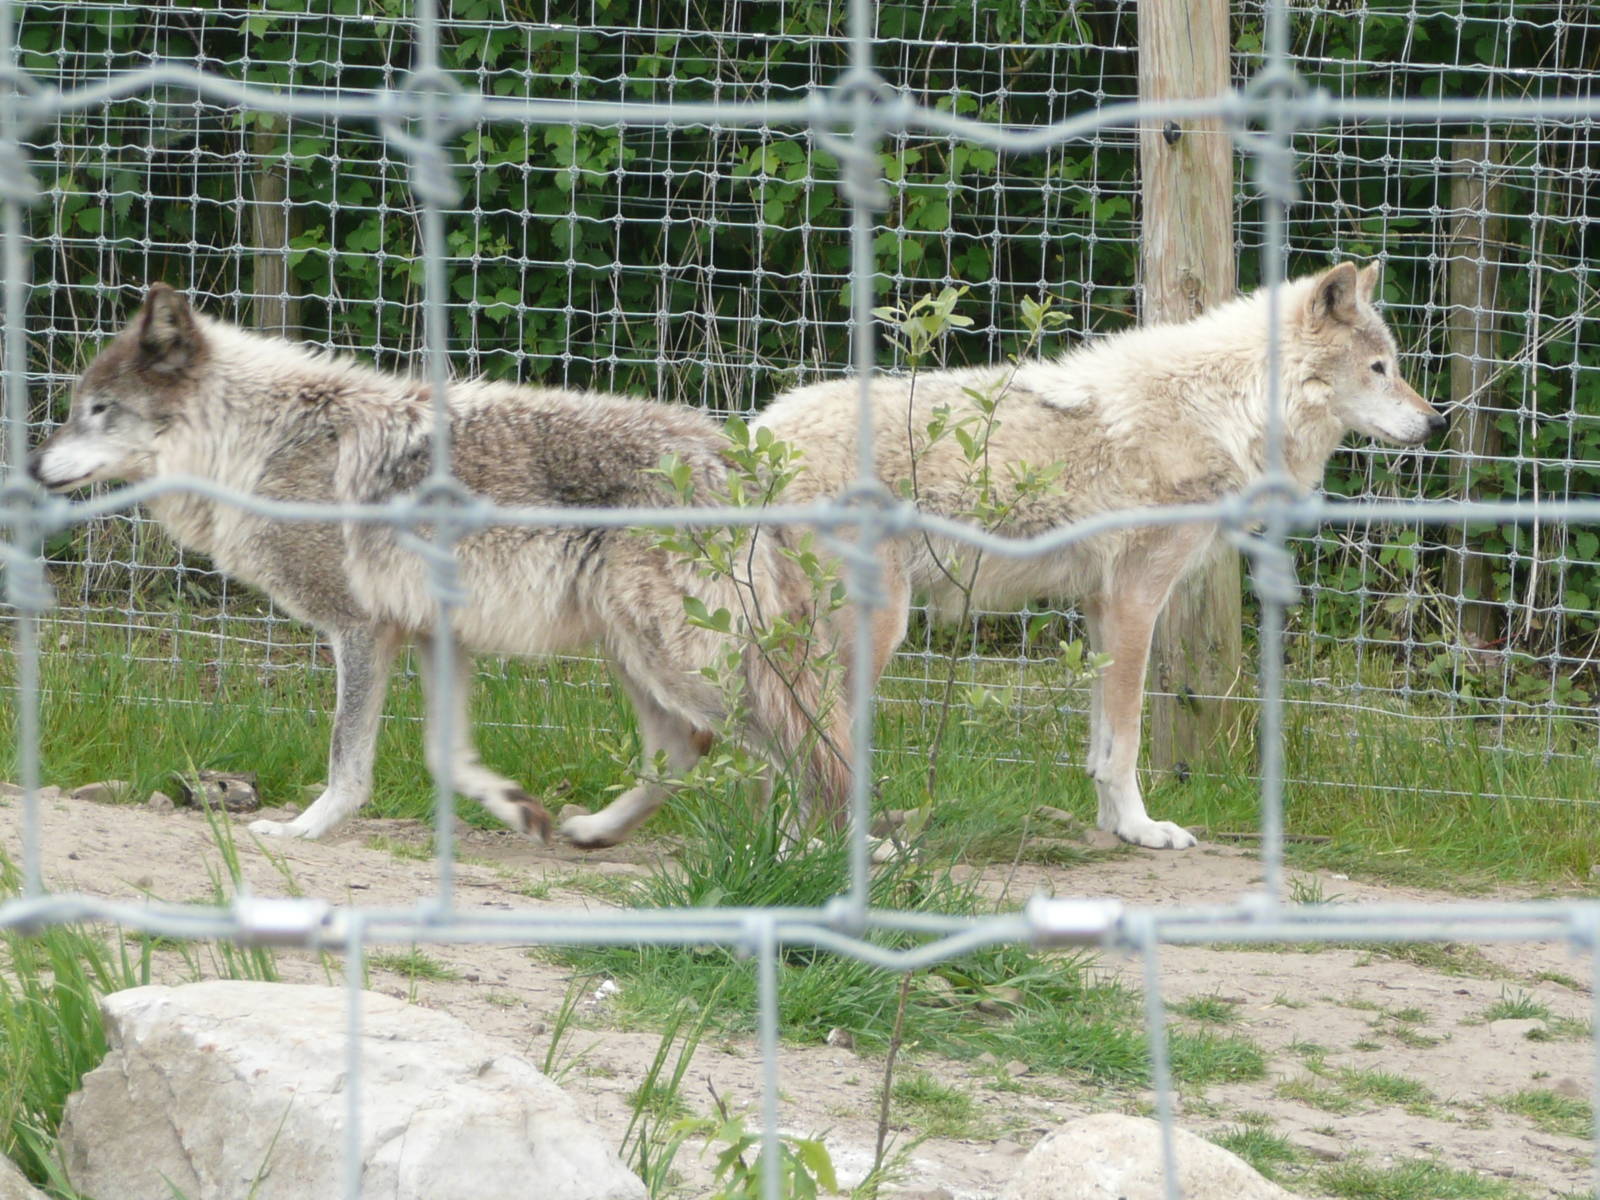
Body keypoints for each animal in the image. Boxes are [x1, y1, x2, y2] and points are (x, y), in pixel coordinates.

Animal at [28, 285, 850, 847]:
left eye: (97, 410)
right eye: (75, 407)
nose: (32, 467)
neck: (257, 445)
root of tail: (736, 458)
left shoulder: (359, 629)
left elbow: (346, 759)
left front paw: (302, 830)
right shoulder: (429, 634)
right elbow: (444, 754)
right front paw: (517, 807)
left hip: (680, 664)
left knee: (809, 754)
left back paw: (795, 859)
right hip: (635, 658)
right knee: (686, 750)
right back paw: (595, 831)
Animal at [756, 263, 1444, 850]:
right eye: (1379, 368)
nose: (1437, 423)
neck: (1227, 410)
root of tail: (760, 435)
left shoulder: (1097, 604)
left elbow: (1098, 744)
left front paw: (1118, 827)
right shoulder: (1136, 598)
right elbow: (1128, 738)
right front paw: (1143, 830)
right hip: (875, 629)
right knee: (809, 740)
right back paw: (830, 850)